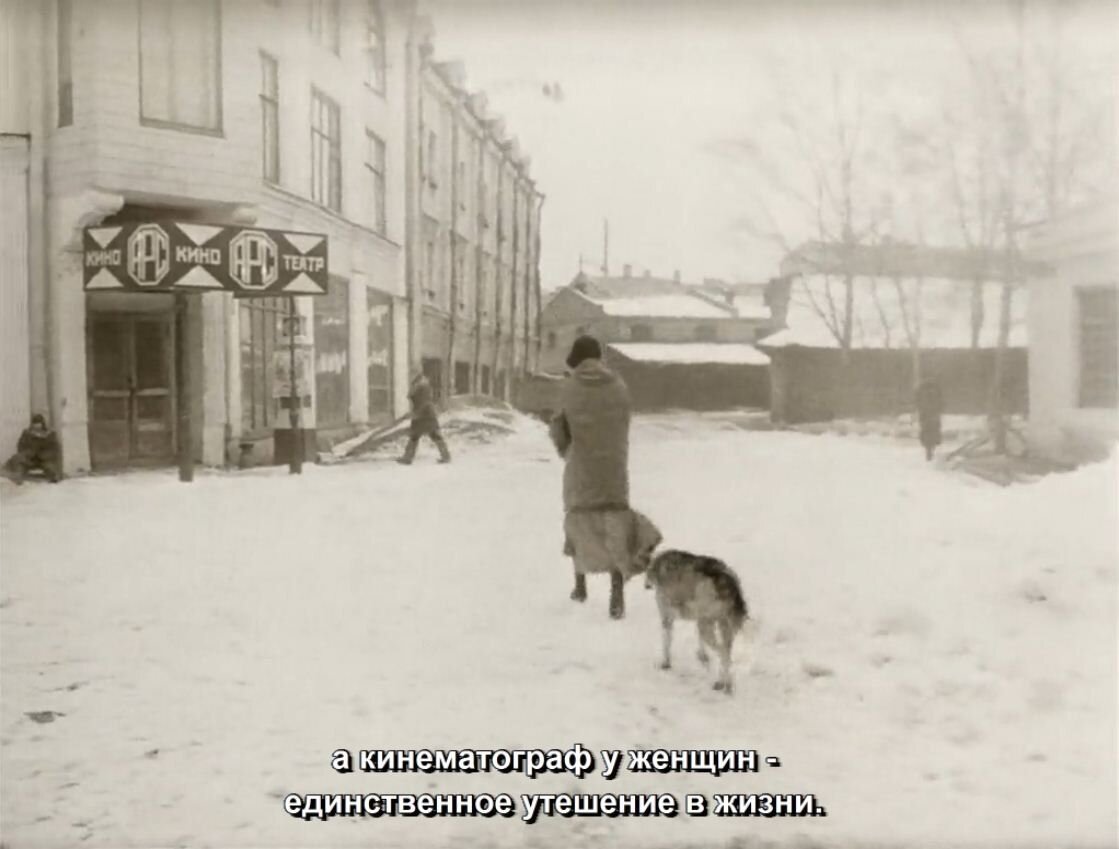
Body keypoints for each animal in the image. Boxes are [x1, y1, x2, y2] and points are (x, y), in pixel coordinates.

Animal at [644, 550, 747, 697]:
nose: (646, 585)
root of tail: (729, 585)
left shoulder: (666, 617)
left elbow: (666, 643)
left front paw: (665, 664)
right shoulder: (696, 619)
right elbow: (700, 645)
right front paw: (702, 656)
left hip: (707, 624)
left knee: (723, 653)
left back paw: (724, 685)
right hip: (723, 626)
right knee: (727, 653)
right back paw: (723, 684)